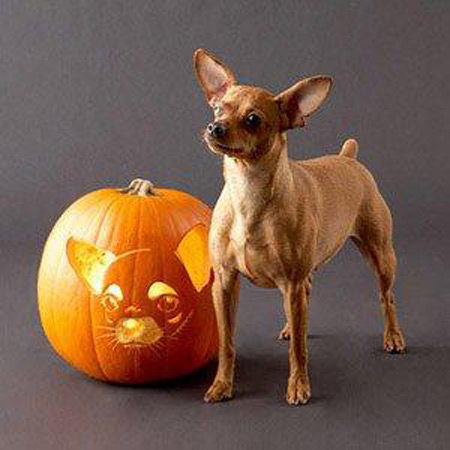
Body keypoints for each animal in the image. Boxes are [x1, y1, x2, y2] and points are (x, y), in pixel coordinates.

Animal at [193, 48, 408, 404]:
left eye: (252, 119)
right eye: (218, 108)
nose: (215, 127)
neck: (248, 194)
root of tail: (348, 157)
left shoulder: (290, 283)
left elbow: (299, 350)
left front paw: (298, 386)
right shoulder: (224, 283)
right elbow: (227, 342)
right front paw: (222, 384)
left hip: (380, 256)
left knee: (386, 296)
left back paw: (392, 336)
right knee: (308, 296)